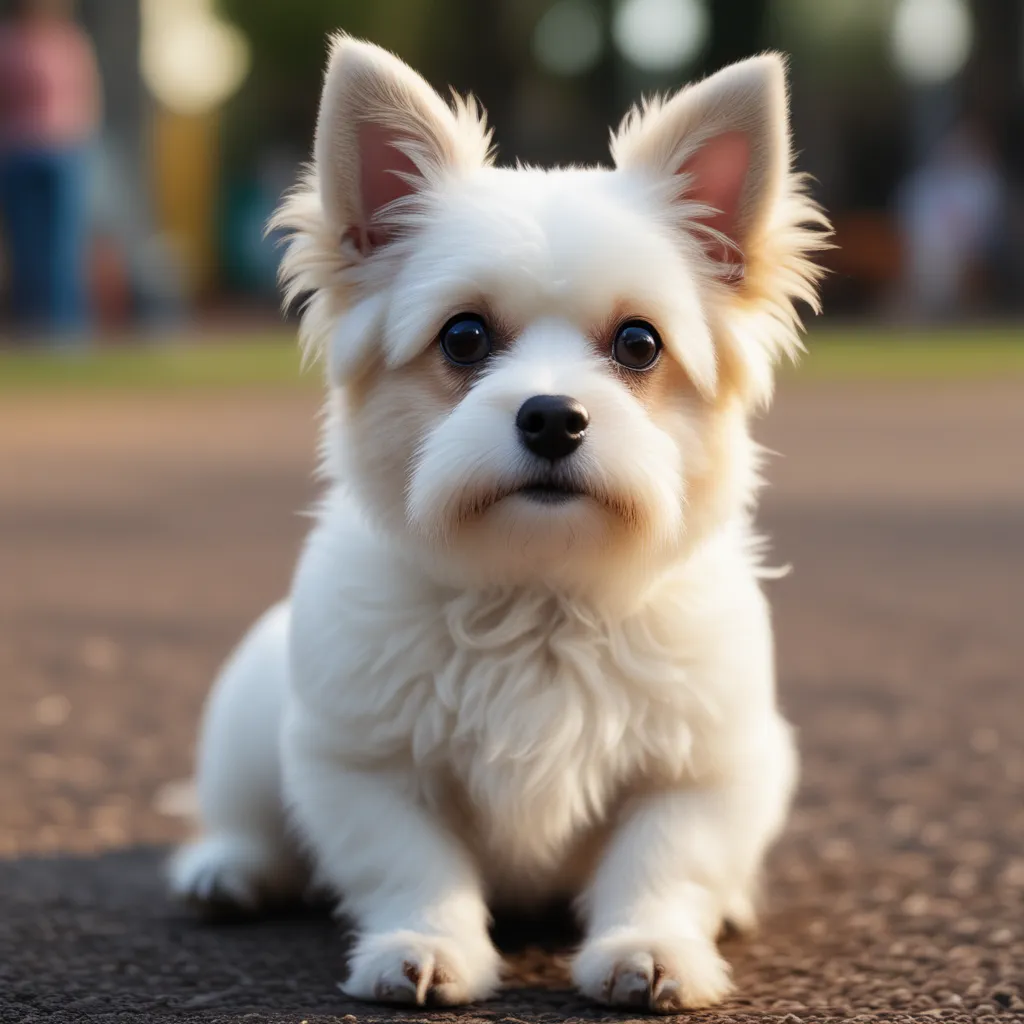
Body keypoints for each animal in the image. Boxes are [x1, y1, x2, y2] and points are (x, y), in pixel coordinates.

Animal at [169, 36, 823, 1011]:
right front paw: (424, 946)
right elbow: (413, 866)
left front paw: (652, 949)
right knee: (247, 819)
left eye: (639, 344)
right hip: (249, 716)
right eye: (464, 337)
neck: (537, 595)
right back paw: (228, 869)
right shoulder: (364, 764)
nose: (552, 417)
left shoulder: (702, 768)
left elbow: (663, 865)